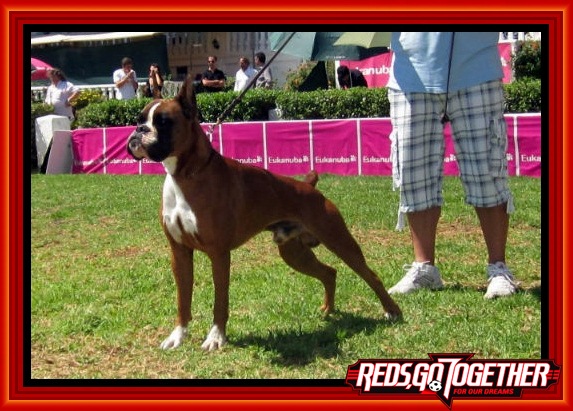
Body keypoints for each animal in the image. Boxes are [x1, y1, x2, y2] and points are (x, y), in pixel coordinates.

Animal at [126, 76, 402, 351]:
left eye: (163, 122)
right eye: (140, 118)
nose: (139, 130)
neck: (185, 175)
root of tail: (309, 186)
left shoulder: (219, 253)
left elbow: (220, 300)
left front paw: (216, 337)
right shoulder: (179, 252)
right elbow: (183, 299)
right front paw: (177, 336)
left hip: (340, 241)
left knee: (371, 276)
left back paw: (392, 311)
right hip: (294, 253)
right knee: (329, 273)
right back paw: (328, 310)